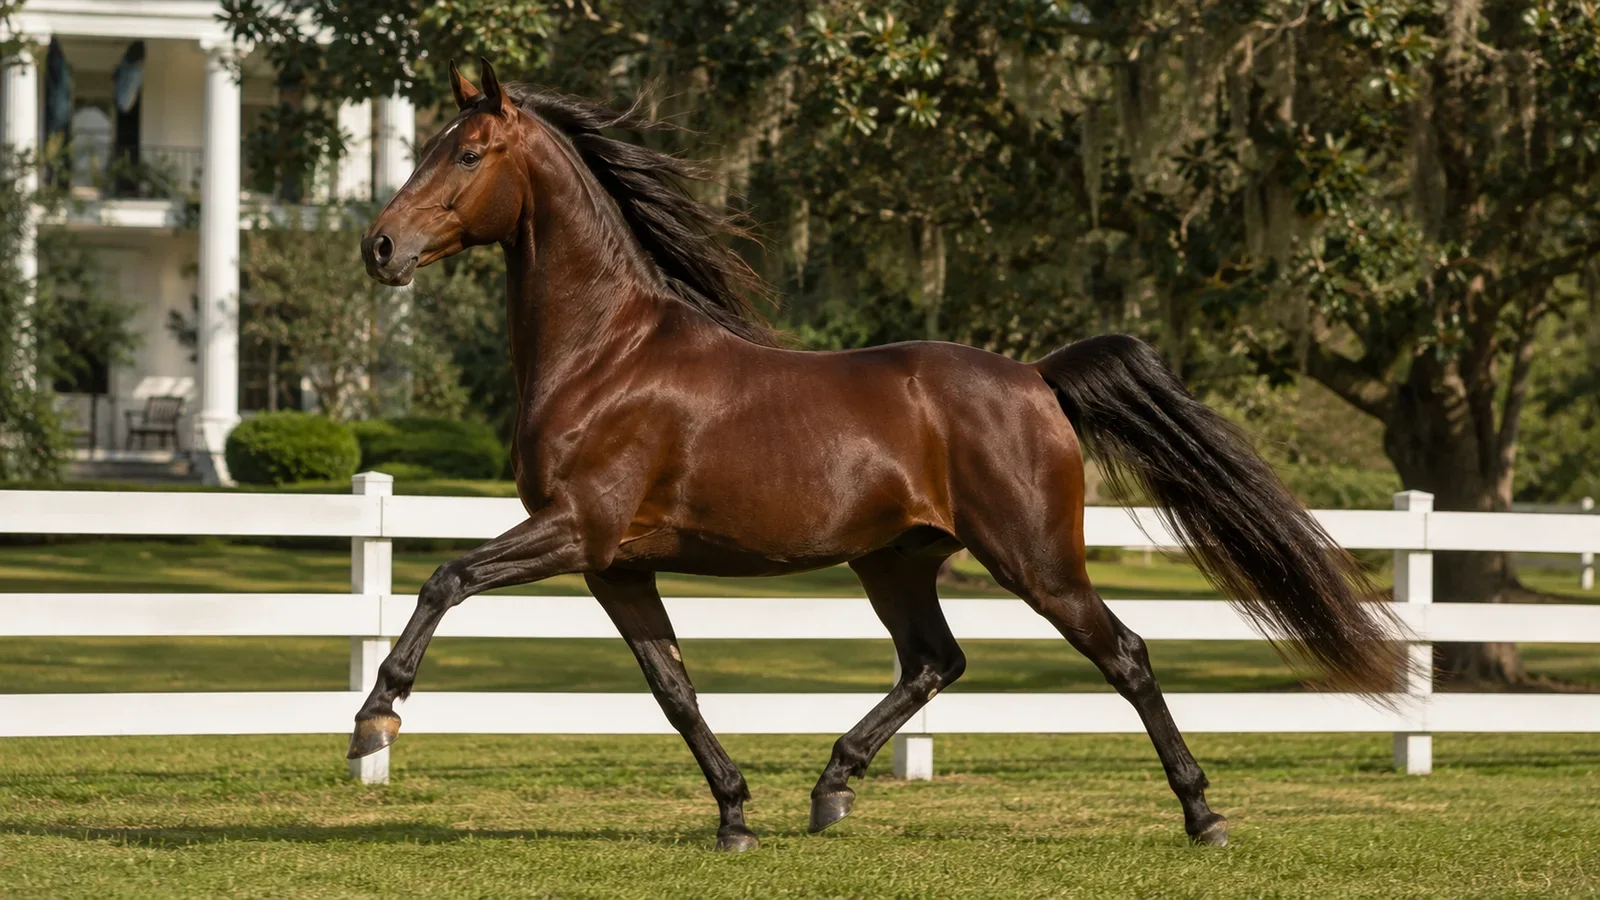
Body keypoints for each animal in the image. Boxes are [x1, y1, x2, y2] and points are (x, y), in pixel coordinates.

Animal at [351, 58, 1401, 853]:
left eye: (468, 153)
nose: (380, 248)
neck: (607, 354)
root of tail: (1038, 377)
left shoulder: (573, 530)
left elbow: (445, 577)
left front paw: (376, 717)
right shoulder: (617, 565)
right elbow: (674, 690)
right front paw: (735, 818)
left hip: (1035, 560)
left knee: (1125, 655)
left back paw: (1203, 814)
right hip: (894, 561)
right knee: (936, 661)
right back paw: (832, 787)